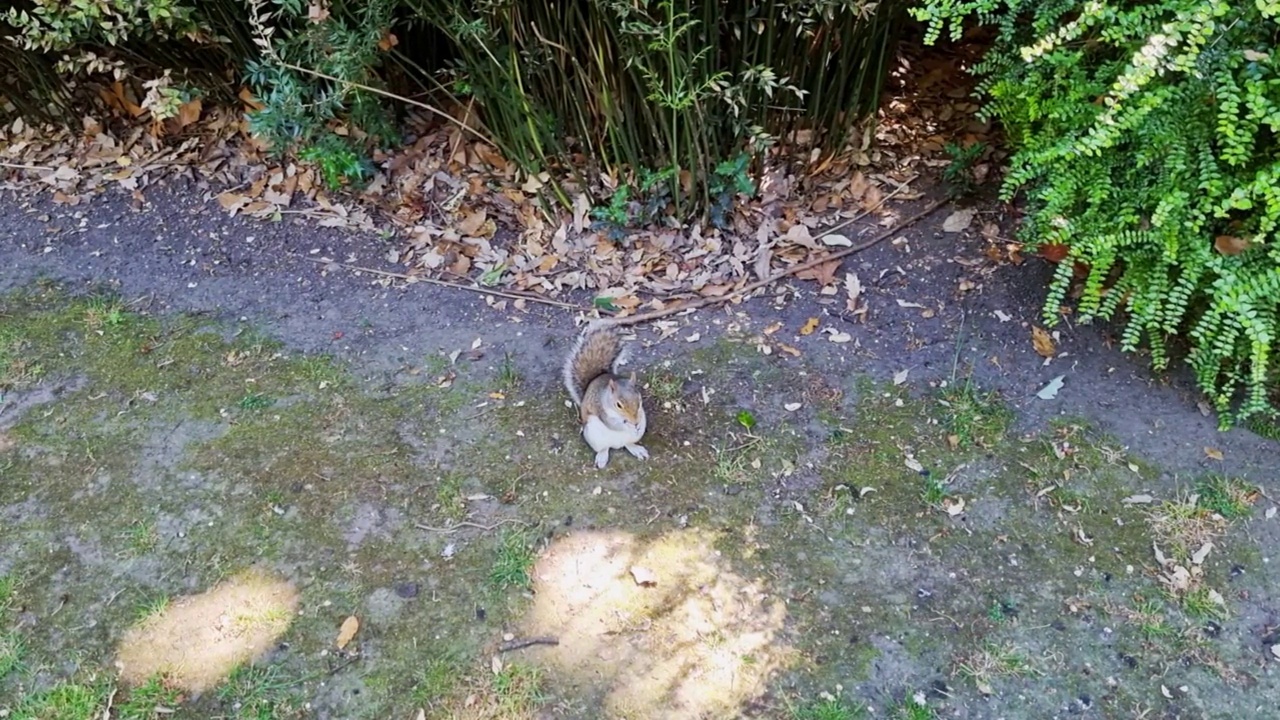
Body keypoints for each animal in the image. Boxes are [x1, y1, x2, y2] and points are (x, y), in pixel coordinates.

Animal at [563, 320, 650, 468]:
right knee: (604, 448)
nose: (635, 422)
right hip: (595, 437)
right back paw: (602, 458)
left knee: (628, 444)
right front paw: (627, 425)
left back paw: (636, 449)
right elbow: (613, 424)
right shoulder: (601, 410)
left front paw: (635, 425)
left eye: (639, 401)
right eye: (618, 405)